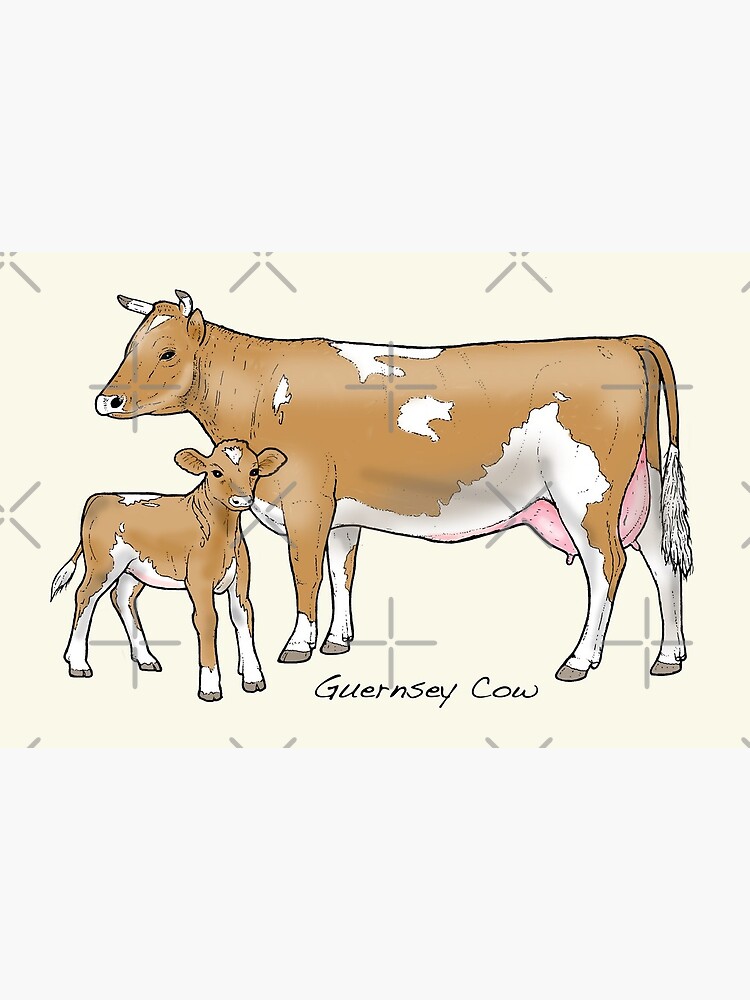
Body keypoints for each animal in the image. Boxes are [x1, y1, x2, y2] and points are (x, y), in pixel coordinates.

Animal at [50, 438, 287, 701]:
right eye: (216, 472)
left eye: (254, 471)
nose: (242, 500)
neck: (224, 532)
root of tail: (101, 497)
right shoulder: (199, 582)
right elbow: (207, 620)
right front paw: (210, 686)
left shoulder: (240, 582)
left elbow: (243, 617)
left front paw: (253, 677)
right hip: (102, 565)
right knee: (85, 597)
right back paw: (78, 662)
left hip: (134, 570)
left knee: (122, 598)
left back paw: (144, 658)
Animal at [94, 289, 692, 682]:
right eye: (129, 345)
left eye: (167, 351)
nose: (108, 400)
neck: (263, 389)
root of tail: (620, 340)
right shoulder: (340, 513)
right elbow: (341, 572)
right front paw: (337, 641)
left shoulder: (305, 503)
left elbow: (306, 575)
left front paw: (298, 645)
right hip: (640, 488)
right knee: (663, 564)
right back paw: (669, 656)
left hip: (585, 493)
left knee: (607, 566)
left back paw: (579, 661)